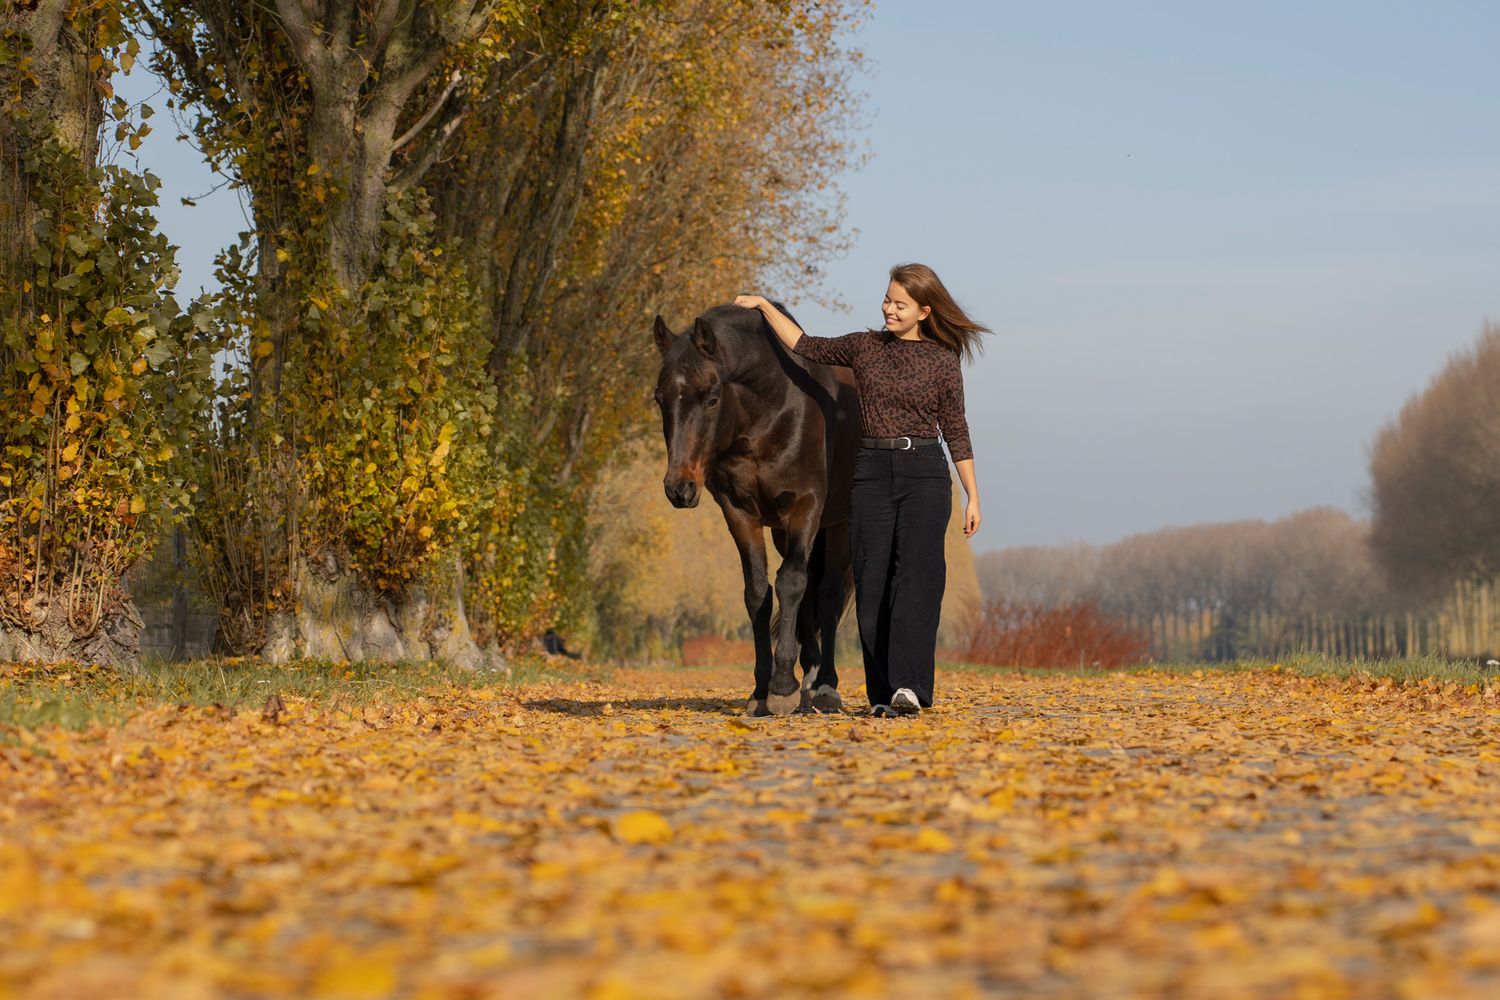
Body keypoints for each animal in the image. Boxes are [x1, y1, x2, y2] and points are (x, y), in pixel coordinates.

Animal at [652, 304, 860, 716]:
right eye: (659, 398)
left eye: (711, 397)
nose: (678, 488)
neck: (770, 413)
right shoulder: (740, 513)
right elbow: (759, 592)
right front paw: (762, 690)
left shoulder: (805, 505)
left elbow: (791, 582)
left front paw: (781, 686)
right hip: (782, 531)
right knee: (808, 595)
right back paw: (809, 677)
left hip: (837, 524)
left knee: (826, 594)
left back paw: (825, 687)